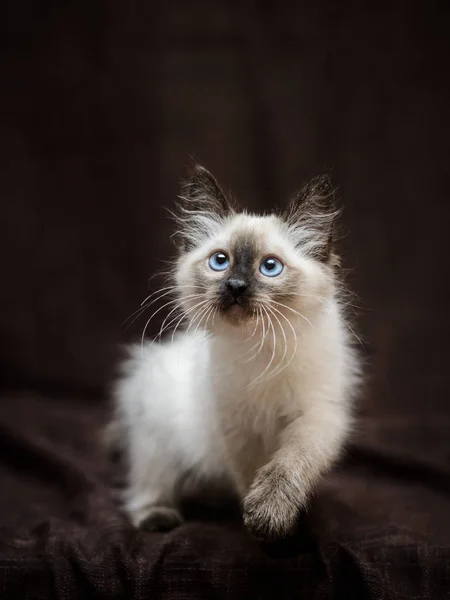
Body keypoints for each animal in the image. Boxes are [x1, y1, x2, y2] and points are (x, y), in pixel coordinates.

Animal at [107, 164, 360, 540]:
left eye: (269, 267)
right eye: (220, 261)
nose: (236, 286)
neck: (262, 346)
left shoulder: (315, 415)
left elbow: (290, 462)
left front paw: (272, 516)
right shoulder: (238, 427)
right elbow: (250, 472)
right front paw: (257, 523)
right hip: (157, 435)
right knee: (150, 482)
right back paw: (159, 517)